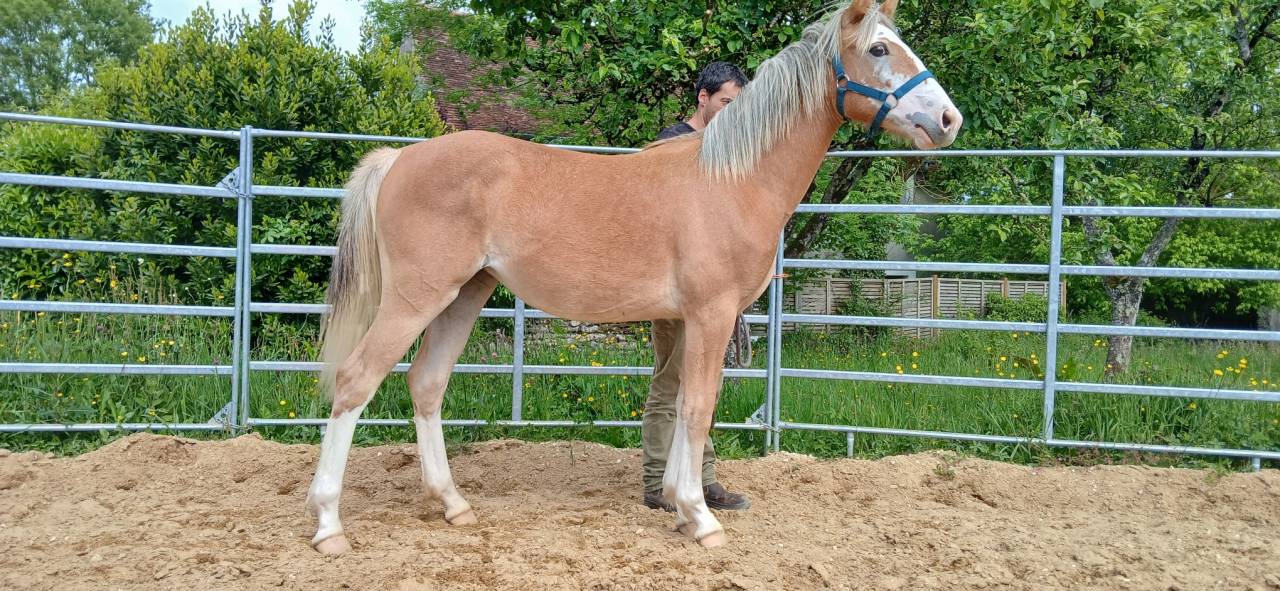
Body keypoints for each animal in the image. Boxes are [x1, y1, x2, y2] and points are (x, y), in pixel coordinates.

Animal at [306, 0, 961, 553]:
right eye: (879, 49)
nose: (948, 119)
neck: (730, 181)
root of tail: (400, 157)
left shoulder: (688, 320)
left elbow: (683, 403)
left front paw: (678, 504)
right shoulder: (712, 314)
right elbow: (698, 407)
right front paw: (701, 519)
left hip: (464, 295)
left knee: (426, 383)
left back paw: (453, 504)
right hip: (416, 297)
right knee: (356, 381)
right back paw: (329, 525)